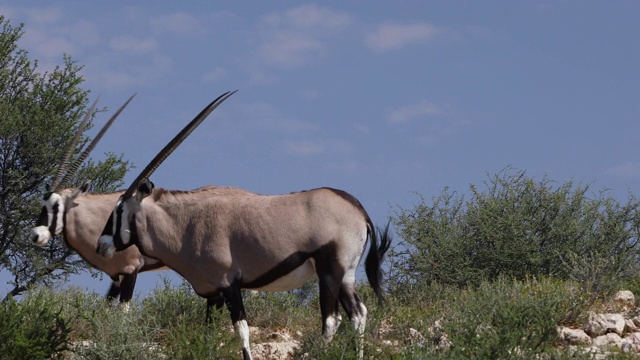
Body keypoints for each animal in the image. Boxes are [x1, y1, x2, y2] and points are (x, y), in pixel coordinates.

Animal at [96, 89, 390, 358]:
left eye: (118, 209)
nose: (101, 245)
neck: (186, 224)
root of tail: (358, 209)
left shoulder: (229, 285)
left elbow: (242, 330)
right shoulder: (213, 294)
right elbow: (208, 334)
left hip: (329, 272)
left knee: (331, 320)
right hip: (346, 275)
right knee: (357, 314)